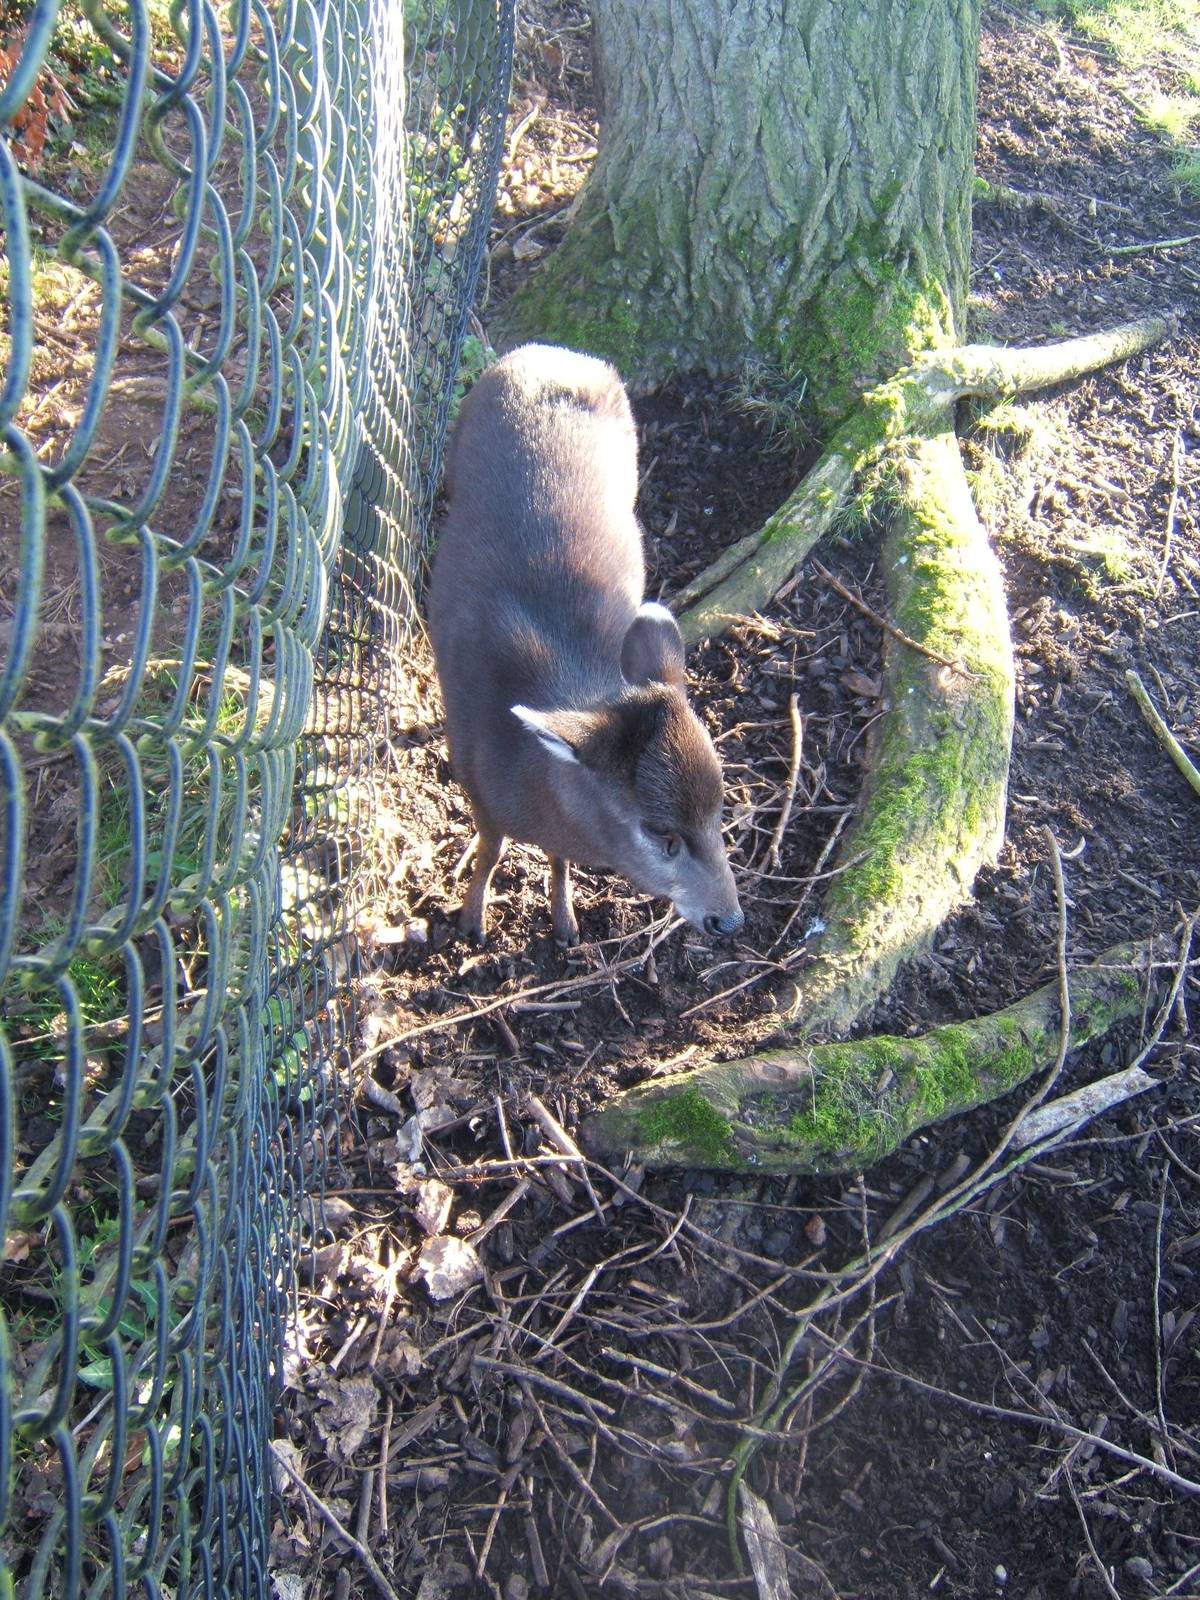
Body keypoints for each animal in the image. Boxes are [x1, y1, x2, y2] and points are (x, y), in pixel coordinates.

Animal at [429, 342, 744, 948]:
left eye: (721, 810)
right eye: (660, 831)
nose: (730, 920)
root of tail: (552, 351)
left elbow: (557, 860)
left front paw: (565, 922)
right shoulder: (471, 773)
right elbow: (489, 850)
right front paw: (471, 922)